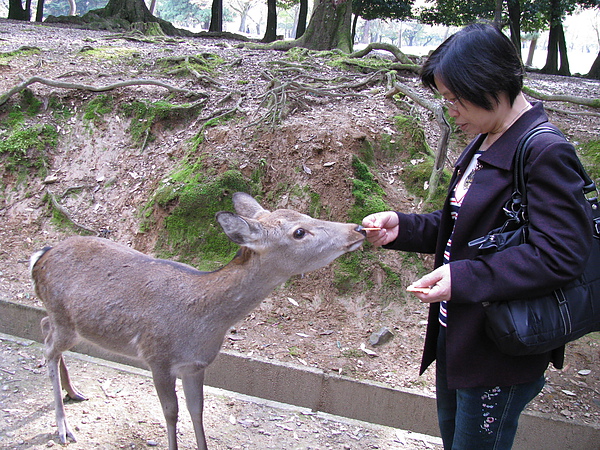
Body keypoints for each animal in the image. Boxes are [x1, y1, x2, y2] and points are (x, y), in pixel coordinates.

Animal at [30, 192, 366, 448]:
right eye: (298, 232)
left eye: (306, 214)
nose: (358, 229)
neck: (202, 324)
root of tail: (40, 256)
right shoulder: (158, 358)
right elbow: (171, 413)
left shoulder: (197, 365)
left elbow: (197, 411)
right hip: (64, 318)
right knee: (47, 346)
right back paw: (63, 427)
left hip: (67, 323)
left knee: (46, 331)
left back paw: (73, 391)